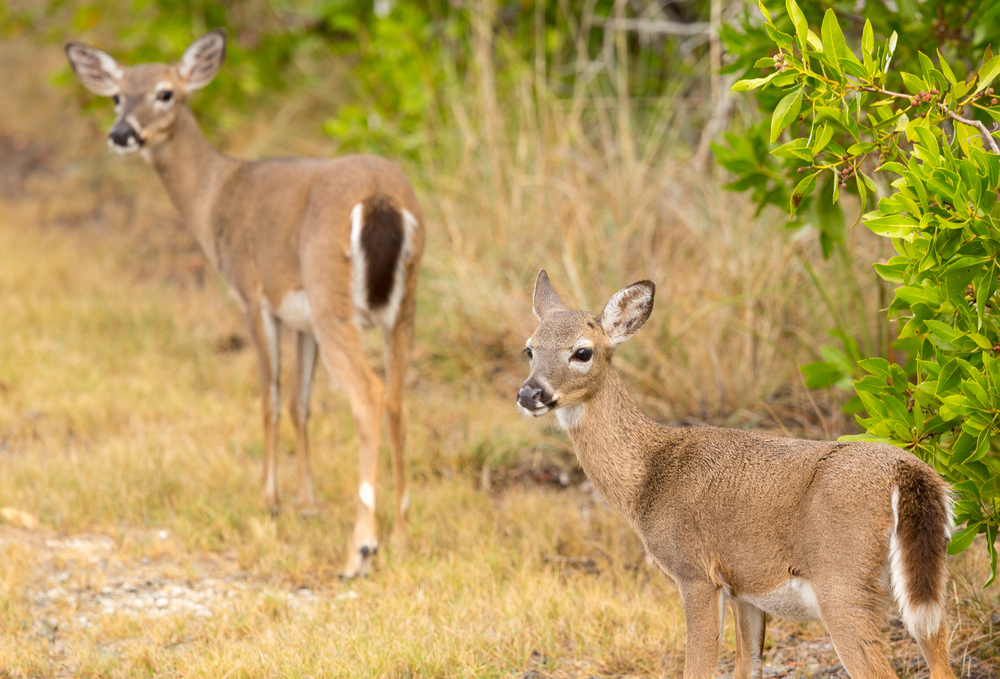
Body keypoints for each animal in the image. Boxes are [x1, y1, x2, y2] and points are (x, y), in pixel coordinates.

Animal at [65, 29, 426, 576]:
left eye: (166, 93)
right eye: (115, 96)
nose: (122, 133)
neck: (216, 196)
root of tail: (382, 198)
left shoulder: (253, 295)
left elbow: (269, 400)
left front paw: (269, 500)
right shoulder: (298, 317)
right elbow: (300, 404)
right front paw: (306, 503)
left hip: (332, 296)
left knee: (368, 394)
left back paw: (361, 548)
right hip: (402, 305)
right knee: (398, 396)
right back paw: (402, 535)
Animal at [520, 270, 956, 679]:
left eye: (582, 352)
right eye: (529, 350)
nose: (529, 394)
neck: (649, 475)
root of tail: (906, 472)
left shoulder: (695, 572)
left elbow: (698, 667)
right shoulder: (744, 590)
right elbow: (748, 666)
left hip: (842, 581)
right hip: (924, 583)